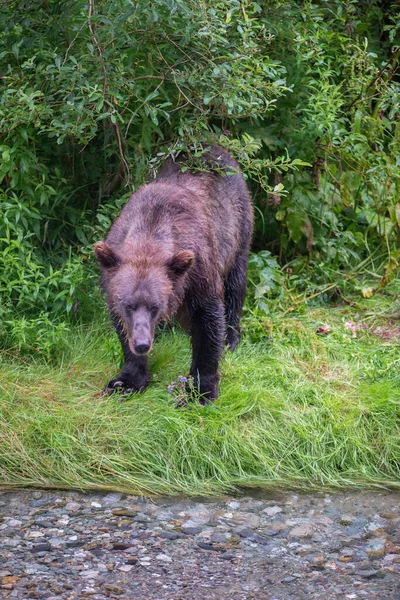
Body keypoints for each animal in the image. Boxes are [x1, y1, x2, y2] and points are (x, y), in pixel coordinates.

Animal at [94, 144, 253, 404]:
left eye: (155, 305)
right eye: (129, 305)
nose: (142, 344)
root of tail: (214, 144)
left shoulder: (198, 272)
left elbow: (208, 323)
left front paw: (200, 391)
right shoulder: (112, 274)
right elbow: (121, 328)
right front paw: (126, 380)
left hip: (238, 226)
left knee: (235, 284)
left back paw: (231, 337)